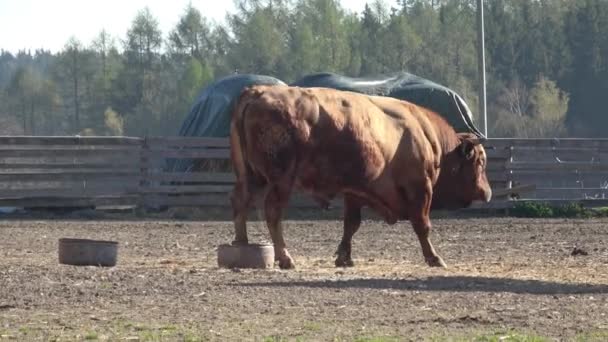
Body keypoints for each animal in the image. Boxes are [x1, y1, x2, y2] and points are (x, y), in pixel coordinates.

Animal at [227, 84, 490, 268]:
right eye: (480, 161)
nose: (487, 192)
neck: (424, 135)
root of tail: (257, 92)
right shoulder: (420, 188)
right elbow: (422, 225)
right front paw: (434, 258)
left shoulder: (354, 192)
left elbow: (351, 224)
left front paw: (344, 257)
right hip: (280, 181)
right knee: (273, 213)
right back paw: (285, 258)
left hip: (250, 177)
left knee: (240, 203)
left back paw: (240, 244)